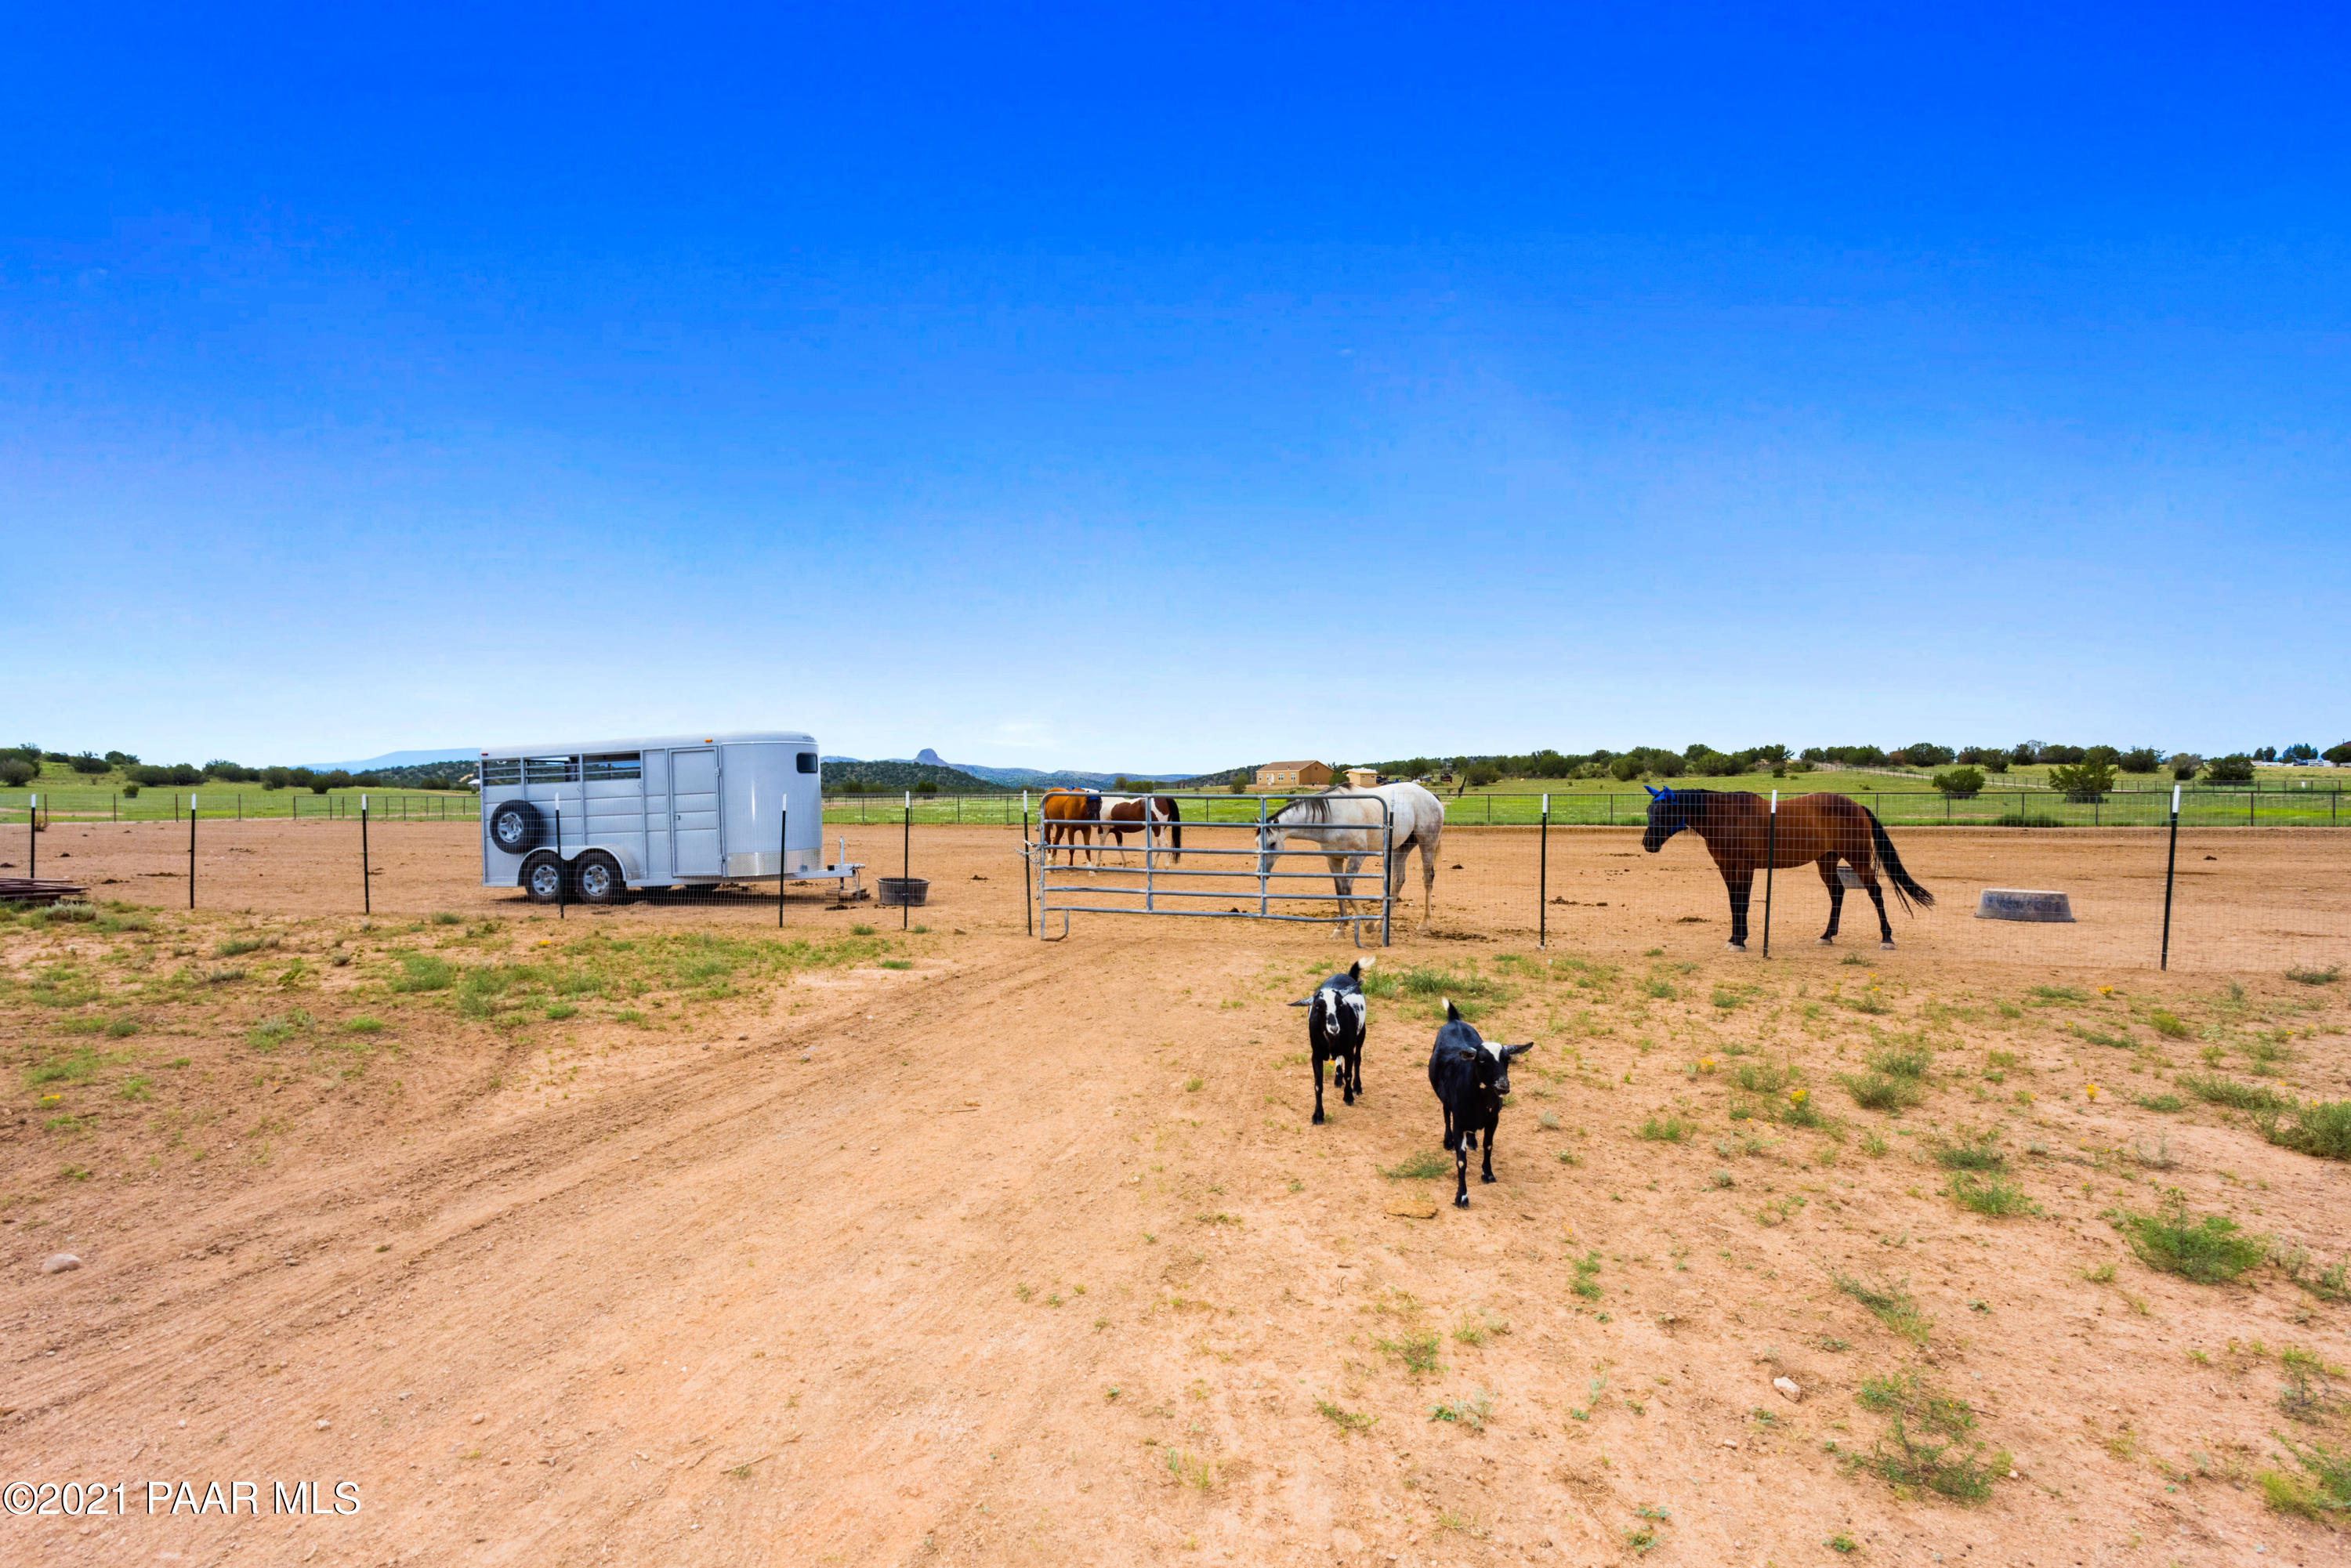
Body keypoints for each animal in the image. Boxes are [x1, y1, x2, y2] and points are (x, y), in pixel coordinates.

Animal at [1256, 782, 1446, 926]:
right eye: (1257, 843)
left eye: (1272, 843)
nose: (1259, 874)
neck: (1332, 817)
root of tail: (1431, 796)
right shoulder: (1333, 859)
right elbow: (1340, 889)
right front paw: (1341, 926)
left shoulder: (1357, 856)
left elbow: (1347, 887)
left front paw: (1367, 924)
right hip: (1401, 847)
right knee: (1399, 880)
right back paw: (1381, 923)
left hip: (1427, 843)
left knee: (1428, 878)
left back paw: (1424, 922)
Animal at [1287, 960, 1368, 1124]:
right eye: (1318, 1006)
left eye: (1340, 1004)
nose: (1334, 1027)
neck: (1331, 1040)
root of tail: (1345, 975)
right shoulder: (1316, 1056)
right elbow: (1318, 1085)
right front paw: (1318, 1114)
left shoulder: (1349, 1051)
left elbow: (1349, 1074)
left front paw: (1348, 1097)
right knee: (1338, 1059)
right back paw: (1337, 1078)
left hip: (1362, 1033)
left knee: (1358, 1059)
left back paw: (1357, 1087)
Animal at [1425, 1001, 1533, 1208]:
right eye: (1482, 1060)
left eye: (1507, 1060)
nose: (1503, 1086)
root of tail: (1454, 1020)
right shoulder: (1459, 1123)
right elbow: (1461, 1161)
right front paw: (1462, 1196)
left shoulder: (1493, 1120)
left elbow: (1488, 1146)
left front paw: (1488, 1174)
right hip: (1445, 1100)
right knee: (1445, 1113)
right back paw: (1448, 1141)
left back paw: (1472, 1140)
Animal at [1639, 786, 1933, 951]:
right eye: (1649, 811)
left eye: (1665, 812)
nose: (1648, 843)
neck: (1727, 817)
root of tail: (1856, 806)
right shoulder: (1726, 868)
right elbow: (1734, 902)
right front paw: (1734, 937)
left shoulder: (1745, 867)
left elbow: (1742, 902)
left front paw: (1740, 941)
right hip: (1827, 861)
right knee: (1837, 893)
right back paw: (1827, 936)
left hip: (1858, 859)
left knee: (1876, 893)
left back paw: (1887, 938)